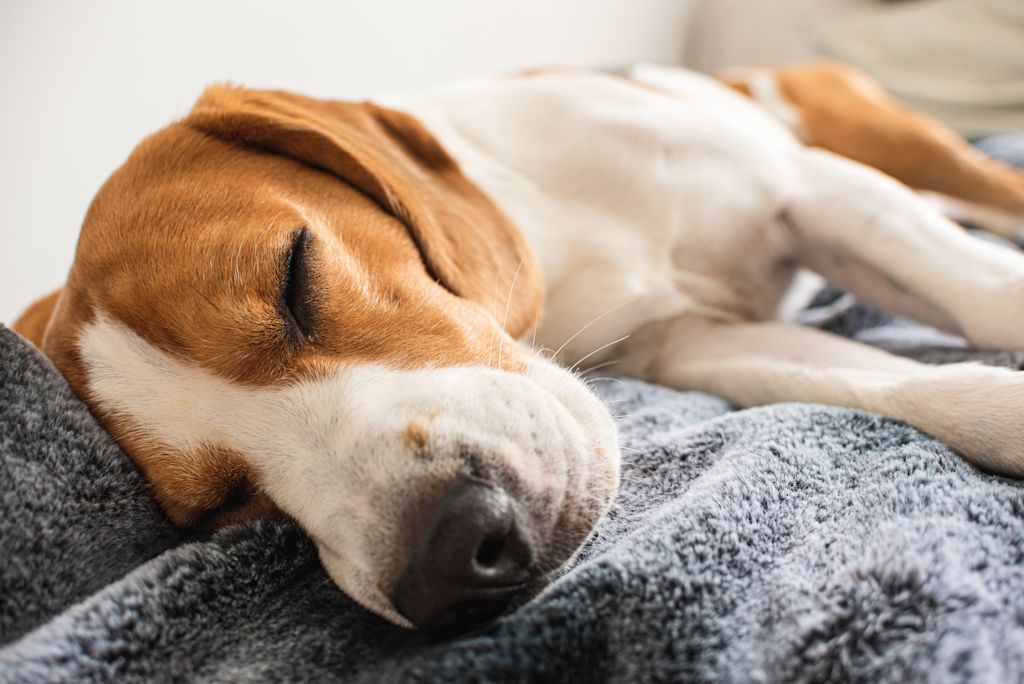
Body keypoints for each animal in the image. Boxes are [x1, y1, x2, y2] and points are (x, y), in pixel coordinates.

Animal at [16, 62, 1024, 630]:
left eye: (292, 274)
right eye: (222, 509)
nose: (450, 559)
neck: (556, 237)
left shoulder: (814, 194)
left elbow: (986, 295)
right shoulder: (694, 347)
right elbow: (893, 387)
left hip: (904, 154)